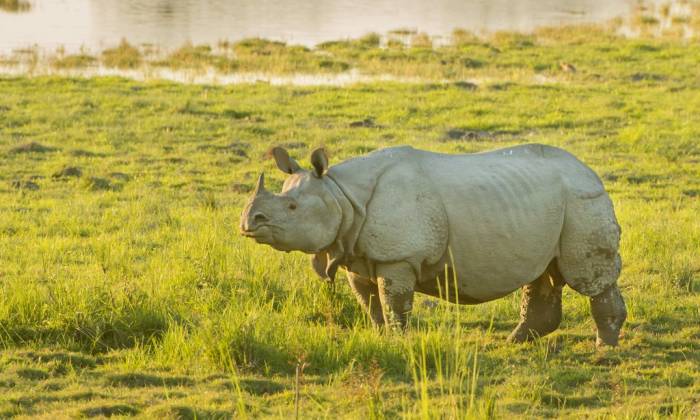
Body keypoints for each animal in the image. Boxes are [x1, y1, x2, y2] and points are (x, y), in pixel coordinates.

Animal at [240, 144, 627, 346]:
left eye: (292, 208)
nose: (248, 223)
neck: (340, 194)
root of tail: (589, 171)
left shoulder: (399, 256)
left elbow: (393, 300)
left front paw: (399, 339)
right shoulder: (355, 251)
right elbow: (369, 301)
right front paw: (382, 337)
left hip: (582, 200)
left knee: (587, 277)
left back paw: (604, 348)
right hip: (551, 205)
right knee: (543, 273)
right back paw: (515, 341)